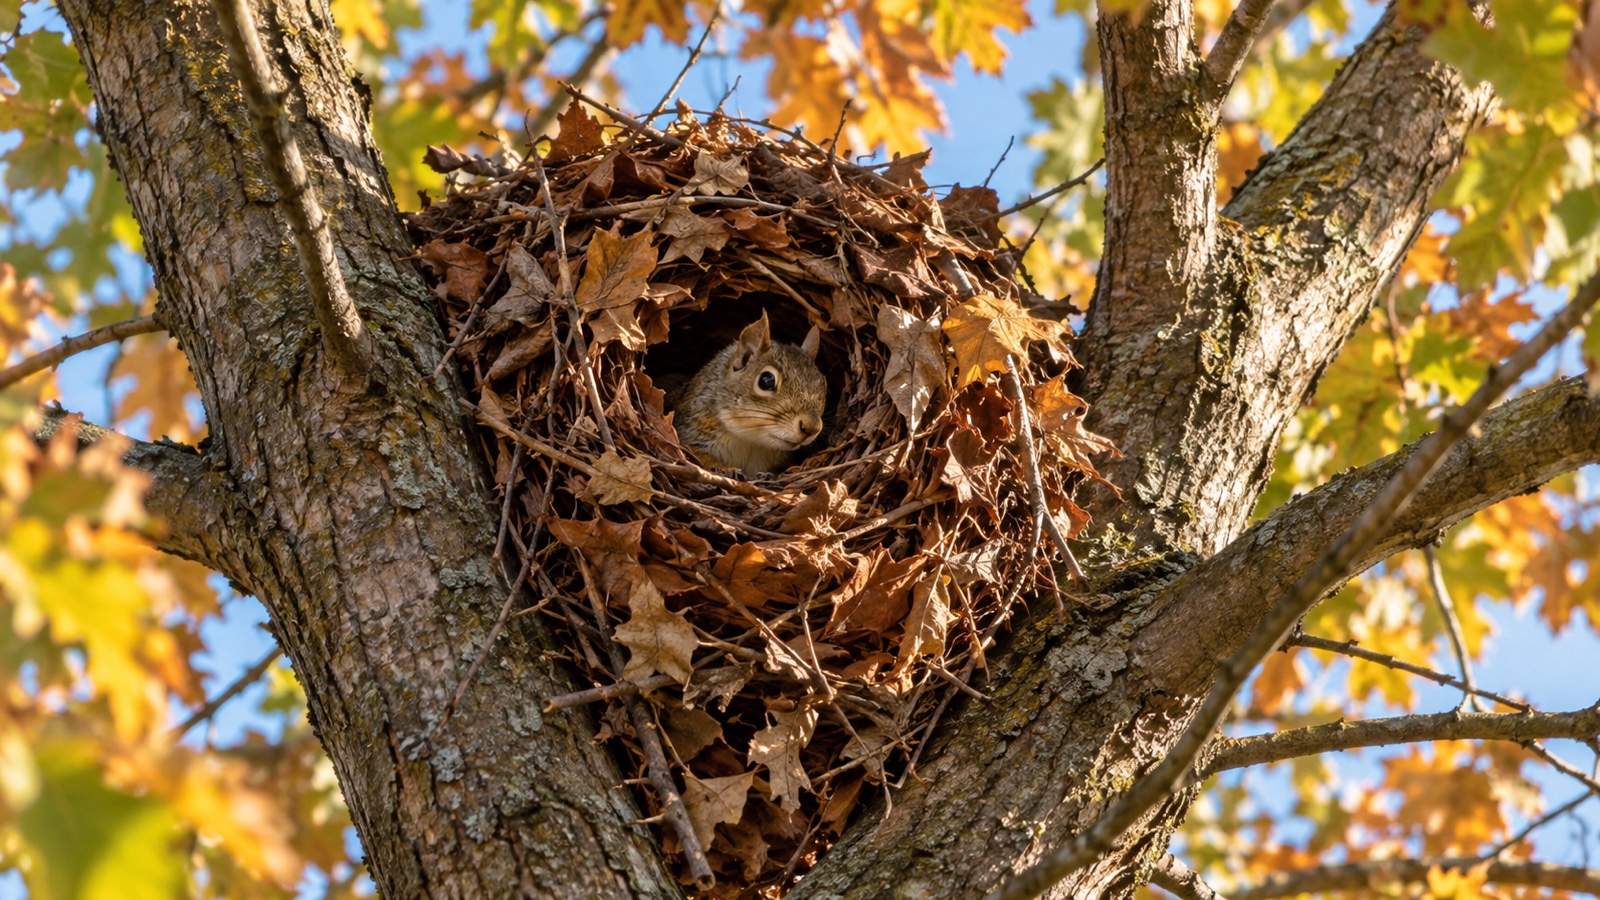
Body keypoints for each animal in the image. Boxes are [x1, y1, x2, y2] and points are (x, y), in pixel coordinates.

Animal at [667, 312, 827, 475]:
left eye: (824, 383)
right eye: (766, 381)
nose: (812, 427)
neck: (749, 442)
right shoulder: (691, 432)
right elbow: (701, 456)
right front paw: (724, 468)